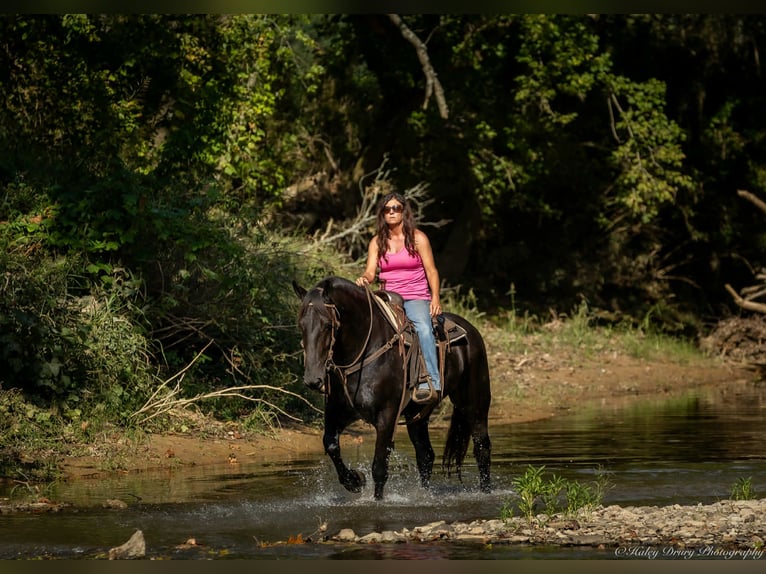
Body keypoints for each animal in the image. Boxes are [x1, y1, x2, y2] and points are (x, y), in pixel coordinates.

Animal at [292, 275, 491, 500]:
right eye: (301, 324)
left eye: (327, 325)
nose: (312, 379)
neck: (364, 351)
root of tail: (471, 331)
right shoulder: (339, 411)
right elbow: (330, 444)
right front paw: (355, 481)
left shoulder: (386, 416)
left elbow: (379, 467)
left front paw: (377, 499)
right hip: (418, 415)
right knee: (426, 455)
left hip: (474, 404)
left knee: (482, 447)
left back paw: (486, 492)